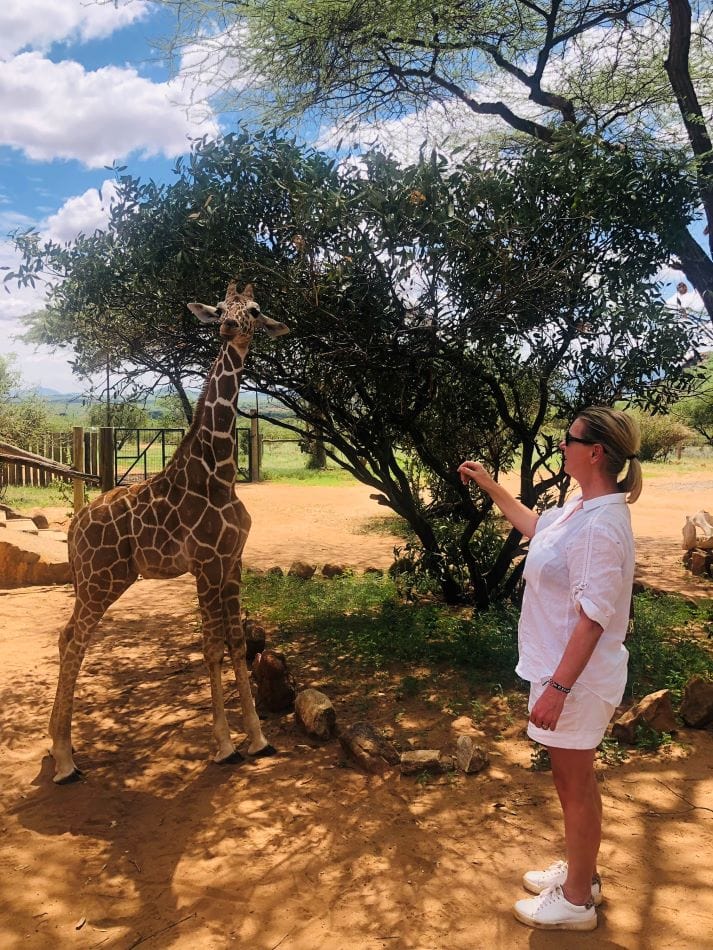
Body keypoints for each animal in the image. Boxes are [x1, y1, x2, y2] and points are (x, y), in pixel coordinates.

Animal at [48, 278, 290, 784]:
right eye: (220, 306)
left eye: (255, 309)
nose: (228, 327)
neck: (219, 473)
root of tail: (74, 528)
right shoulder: (205, 564)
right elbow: (211, 646)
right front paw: (224, 747)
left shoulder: (233, 562)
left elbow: (237, 643)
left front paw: (258, 739)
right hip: (102, 581)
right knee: (74, 641)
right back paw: (64, 761)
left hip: (97, 582)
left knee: (65, 638)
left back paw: (60, 746)